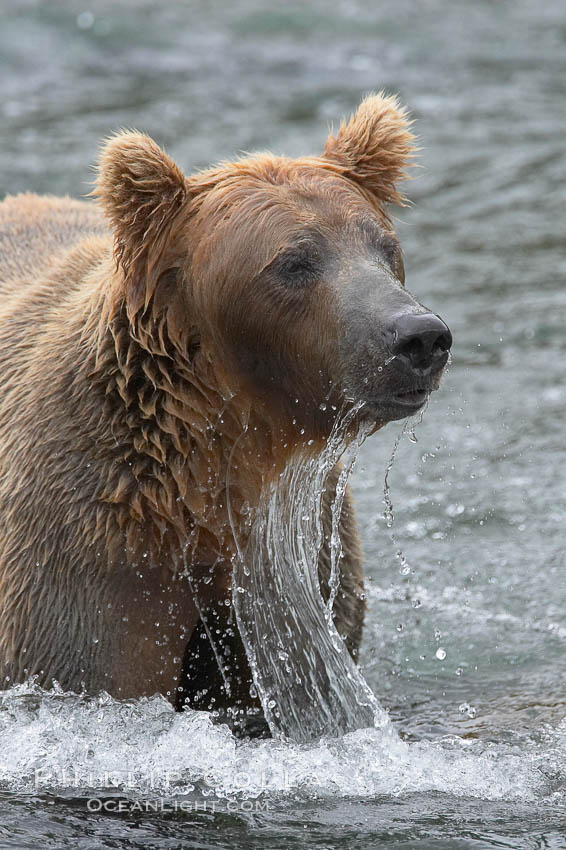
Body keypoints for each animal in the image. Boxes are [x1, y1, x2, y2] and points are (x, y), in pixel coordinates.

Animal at [0, 91, 452, 728]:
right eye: (294, 262)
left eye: (385, 247)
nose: (418, 337)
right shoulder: (91, 540)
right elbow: (86, 663)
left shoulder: (302, 553)